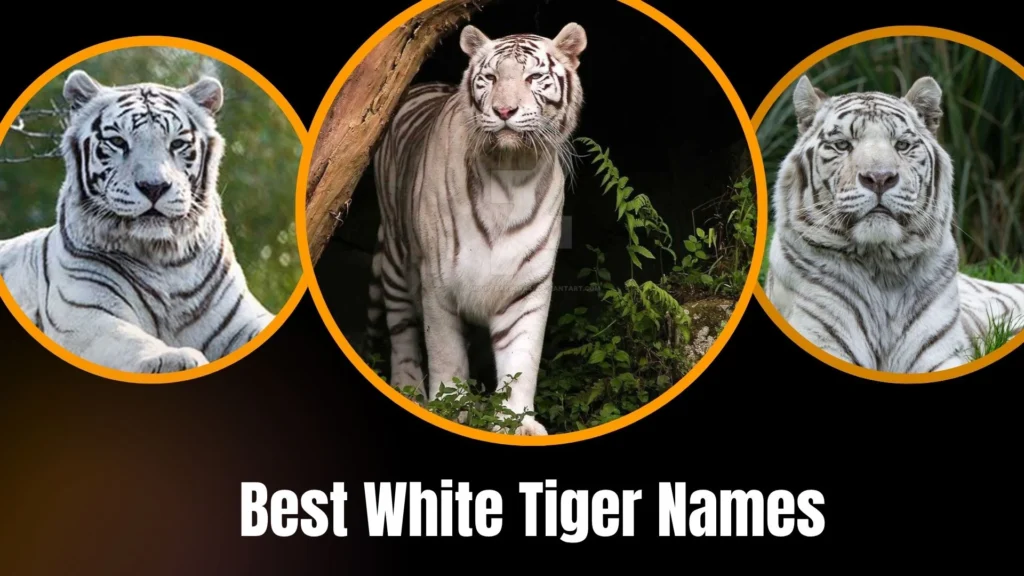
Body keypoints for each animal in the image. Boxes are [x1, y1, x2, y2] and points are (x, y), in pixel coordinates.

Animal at [0, 70, 274, 374]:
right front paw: (175, 358)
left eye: (177, 143)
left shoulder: (240, 316)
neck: (165, 259)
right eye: (118, 142)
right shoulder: (85, 315)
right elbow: (131, 340)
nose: (154, 187)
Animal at [364, 23, 587, 435]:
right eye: (491, 78)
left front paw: (518, 422)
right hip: (397, 260)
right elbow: (445, 354)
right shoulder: (438, 283)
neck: (512, 174)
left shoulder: (528, 286)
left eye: (534, 78)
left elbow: (522, 358)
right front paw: (451, 408)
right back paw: (407, 389)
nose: (504, 110)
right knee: (401, 331)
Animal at [763, 75, 1024, 373]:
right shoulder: (824, 341)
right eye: (842, 145)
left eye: (902, 145)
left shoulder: (941, 355)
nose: (879, 178)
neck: (882, 267)